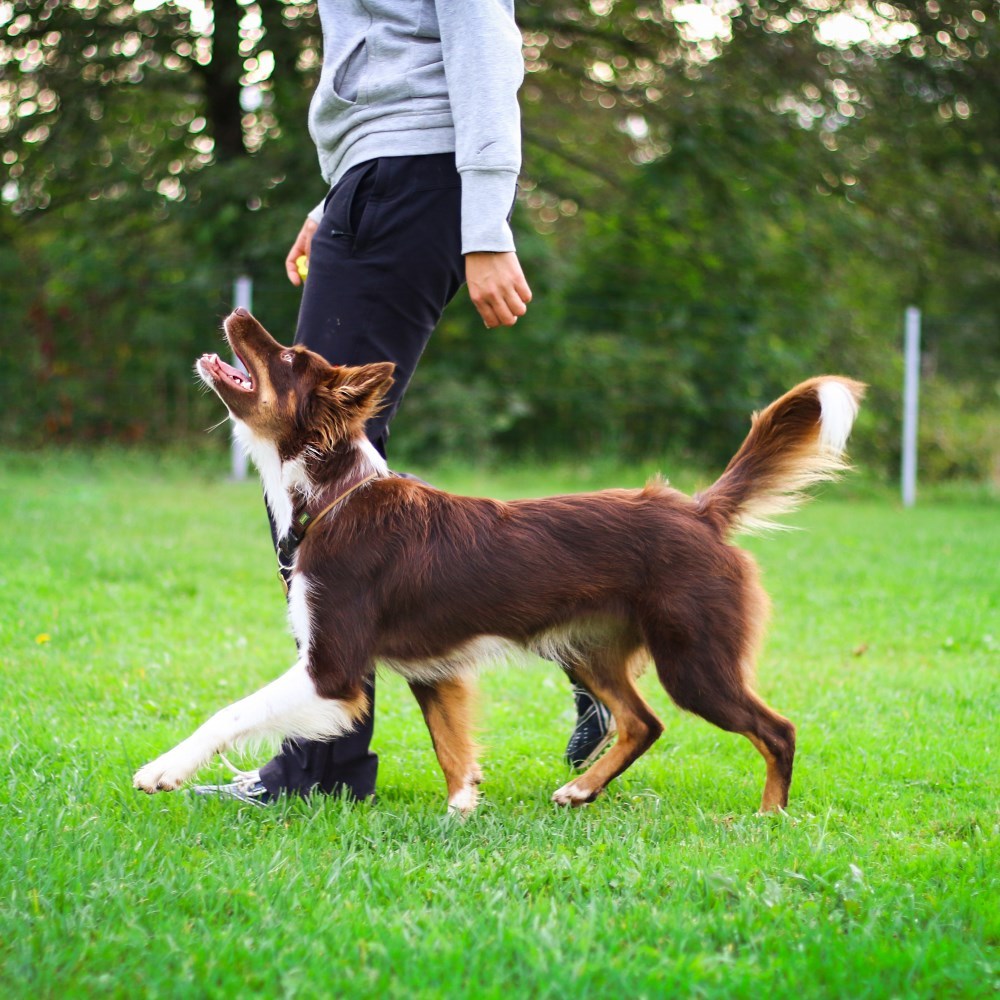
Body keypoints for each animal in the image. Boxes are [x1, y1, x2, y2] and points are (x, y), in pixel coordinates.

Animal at [133, 310, 864, 812]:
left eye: (286, 355)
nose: (237, 313)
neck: (336, 495)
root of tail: (698, 510)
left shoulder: (333, 670)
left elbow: (232, 713)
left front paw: (165, 769)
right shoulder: (436, 670)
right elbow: (452, 748)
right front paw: (464, 808)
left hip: (695, 661)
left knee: (777, 730)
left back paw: (769, 818)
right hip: (586, 648)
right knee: (644, 721)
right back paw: (582, 792)